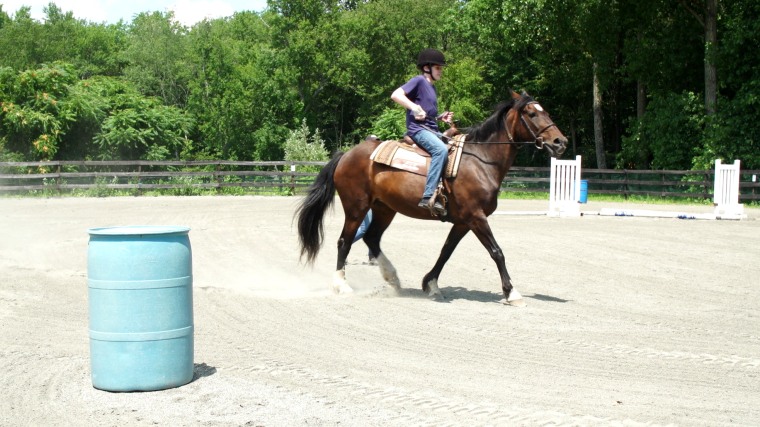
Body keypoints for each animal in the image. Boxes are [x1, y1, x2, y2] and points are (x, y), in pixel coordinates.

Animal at [294, 90, 568, 306]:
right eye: (532, 114)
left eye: (545, 111)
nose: (560, 142)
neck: (480, 161)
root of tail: (346, 155)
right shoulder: (476, 217)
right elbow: (497, 252)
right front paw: (512, 293)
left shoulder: (463, 221)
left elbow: (446, 251)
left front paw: (431, 284)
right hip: (356, 207)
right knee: (345, 241)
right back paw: (342, 285)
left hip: (384, 208)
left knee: (372, 238)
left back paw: (393, 278)